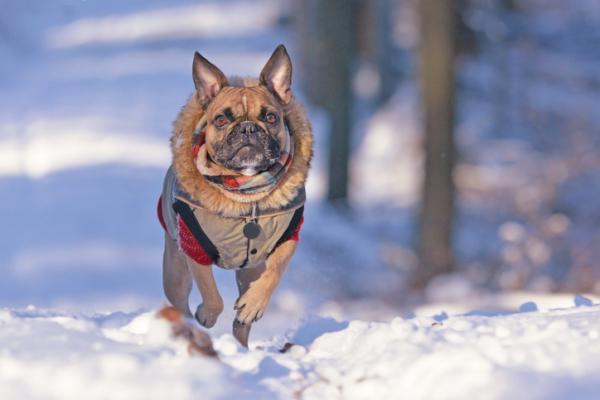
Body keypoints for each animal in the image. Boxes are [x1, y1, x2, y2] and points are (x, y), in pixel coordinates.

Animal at [157, 44, 316, 346]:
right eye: (220, 119)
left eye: (271, 117)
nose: (248, 128)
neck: (245, 195)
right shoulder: (194, 247)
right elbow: (211, 292)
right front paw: (207, 314)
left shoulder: (287, 238)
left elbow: (275, 271)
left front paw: (253, 304)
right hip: (175, 270)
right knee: (180, 302)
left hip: (249, 268)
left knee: (241, 320)